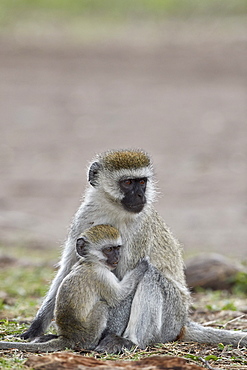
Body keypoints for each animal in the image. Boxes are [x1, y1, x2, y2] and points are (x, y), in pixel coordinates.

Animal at [0, 224, 149, 352]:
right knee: (102, 306)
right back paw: (93, 343)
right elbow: (119, 295)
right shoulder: (101, 275)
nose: (117, 257)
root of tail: (68, 337)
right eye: (109, 249)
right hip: (88, 332)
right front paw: (143, 265)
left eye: (117, 248)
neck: (90, 262)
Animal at [21, 149, 247, 352]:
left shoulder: (140, 231)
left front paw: (101, 336)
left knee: (151, 276)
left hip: (171, 318)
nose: (140, 195)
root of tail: (183, 324)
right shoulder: (83, 218)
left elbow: (124, 285)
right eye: (128, 182)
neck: (113, 209)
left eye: (142, 182)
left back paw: (130, 341)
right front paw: (36, 329)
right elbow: (68, 269)